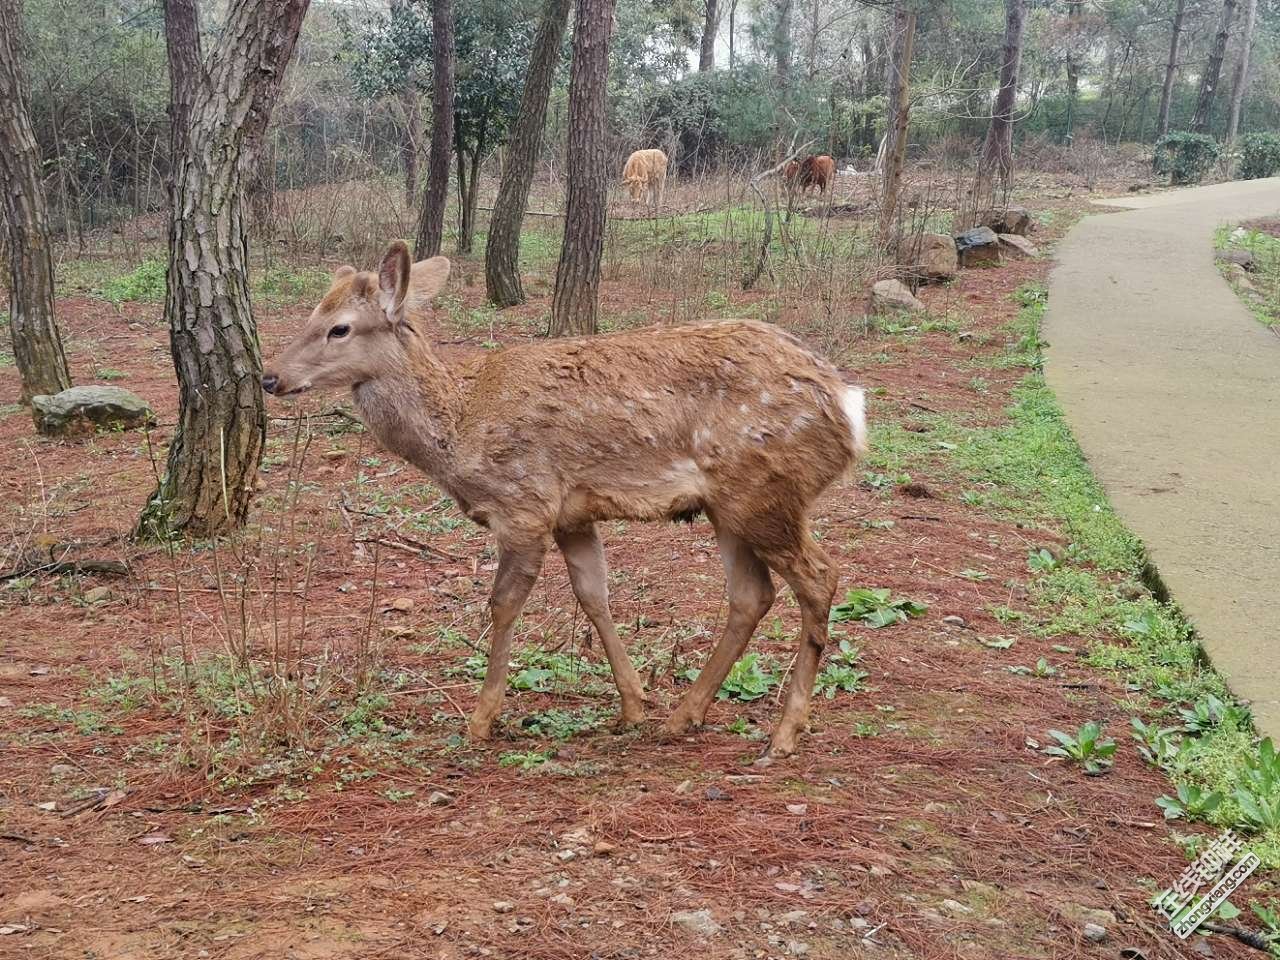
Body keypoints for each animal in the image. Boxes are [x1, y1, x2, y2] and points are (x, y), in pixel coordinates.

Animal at [264, 241, 870, 757]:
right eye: (311, 315)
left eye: (339, 328)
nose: (271, 377)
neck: (460, 431)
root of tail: (847, 406)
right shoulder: (572, 515)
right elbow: (593, 595)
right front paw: (633, 705)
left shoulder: (524, 504)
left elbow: (503, 604)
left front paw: (481, 719)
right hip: (729, 506)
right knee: (751, 595)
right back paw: (684, 716)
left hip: (765, 492)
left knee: (820, 576)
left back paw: (785, 732)